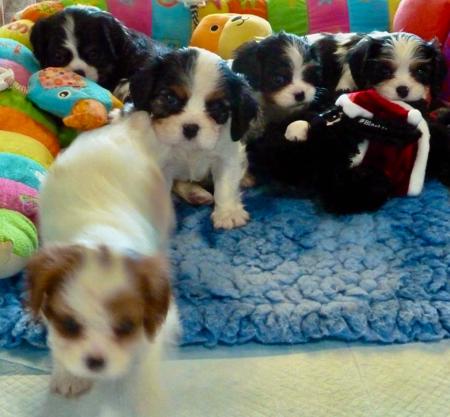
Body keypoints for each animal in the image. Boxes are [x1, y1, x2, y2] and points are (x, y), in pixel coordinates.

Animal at [26, 112, 178, 415]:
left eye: (126, 327)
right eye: (69, 325)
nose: (94, 362)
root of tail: (125, 127)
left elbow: (147, 363)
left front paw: (147, 399)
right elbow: (57, 343)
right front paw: (70, 375)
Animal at [129, 47, 258, 229]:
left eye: (217, 106)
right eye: (170, 98)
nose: (191, 128)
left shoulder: (227, 156)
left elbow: (226, 184)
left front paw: (228, 212)